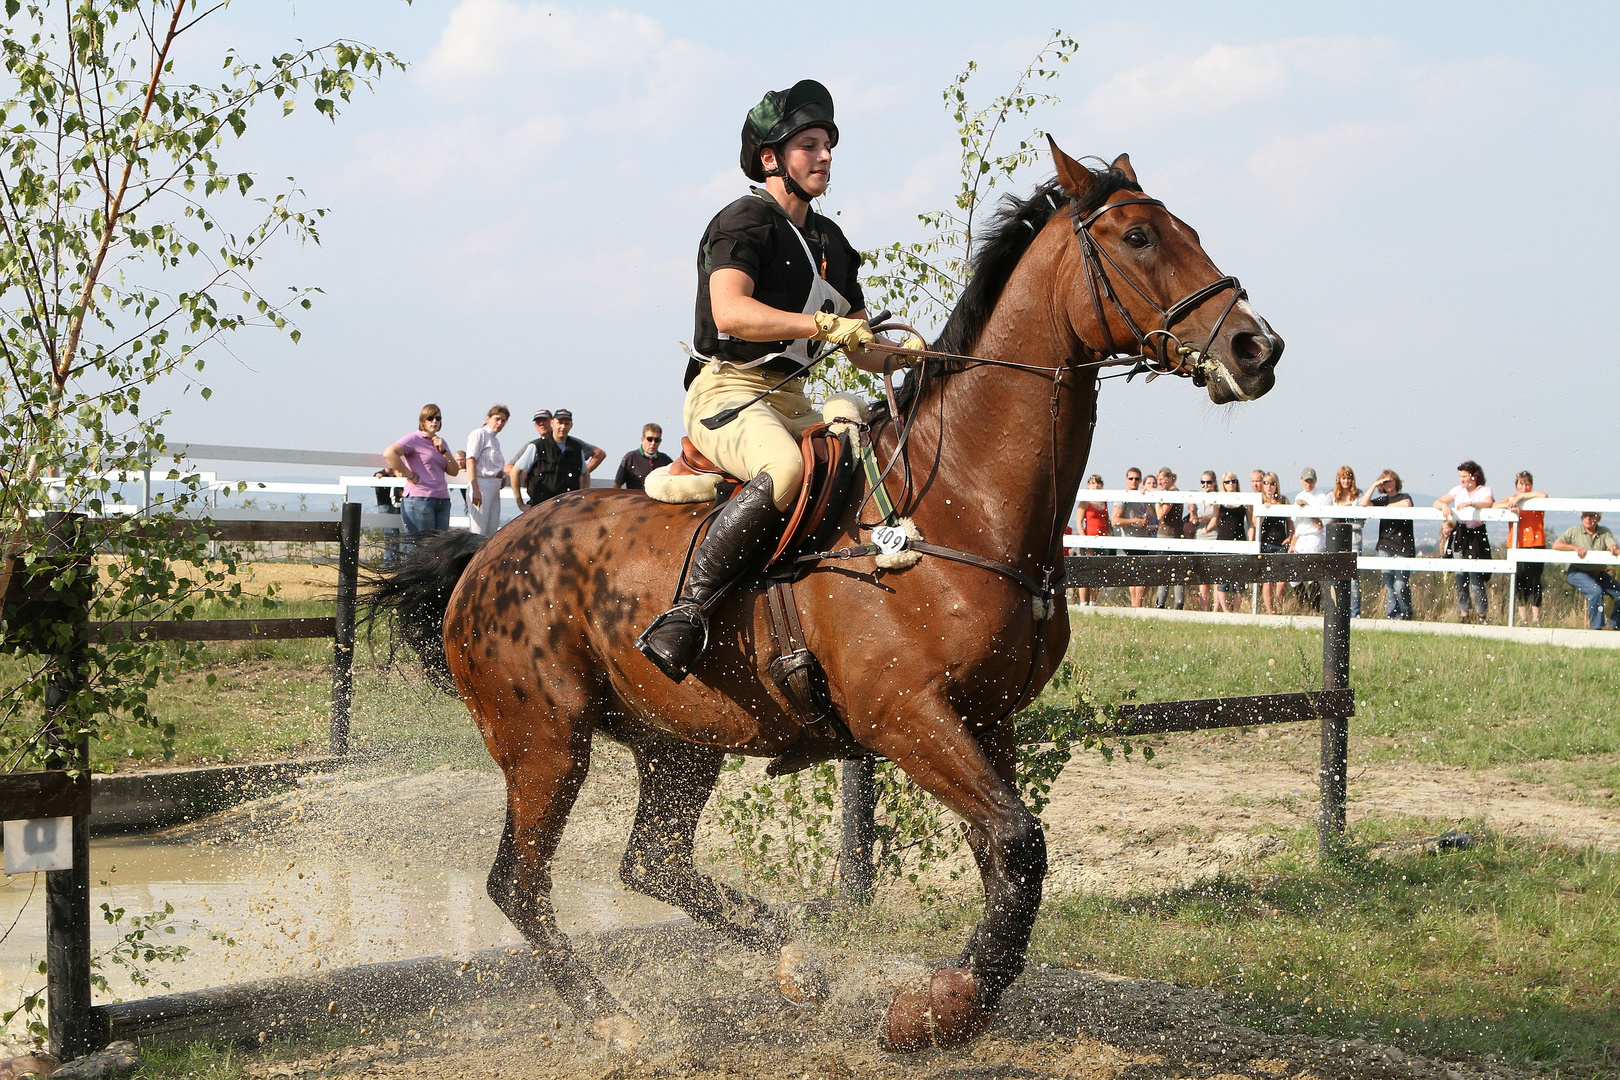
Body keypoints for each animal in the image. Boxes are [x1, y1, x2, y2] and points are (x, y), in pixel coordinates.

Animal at [364, 139, 1276, 1049]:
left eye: (1186, 231)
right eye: (1137, 238)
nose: (1256, 348)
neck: (958, 499)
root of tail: (487, 556)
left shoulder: (986, 719)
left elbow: (1008, 859)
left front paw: (948, 998)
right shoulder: (907, 716)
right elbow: (1019, 845)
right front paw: (935, 1009)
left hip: (677, 742)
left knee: (653, 862)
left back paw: (795, 963)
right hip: (546, 744)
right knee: (519, 883)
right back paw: (615, 1019)